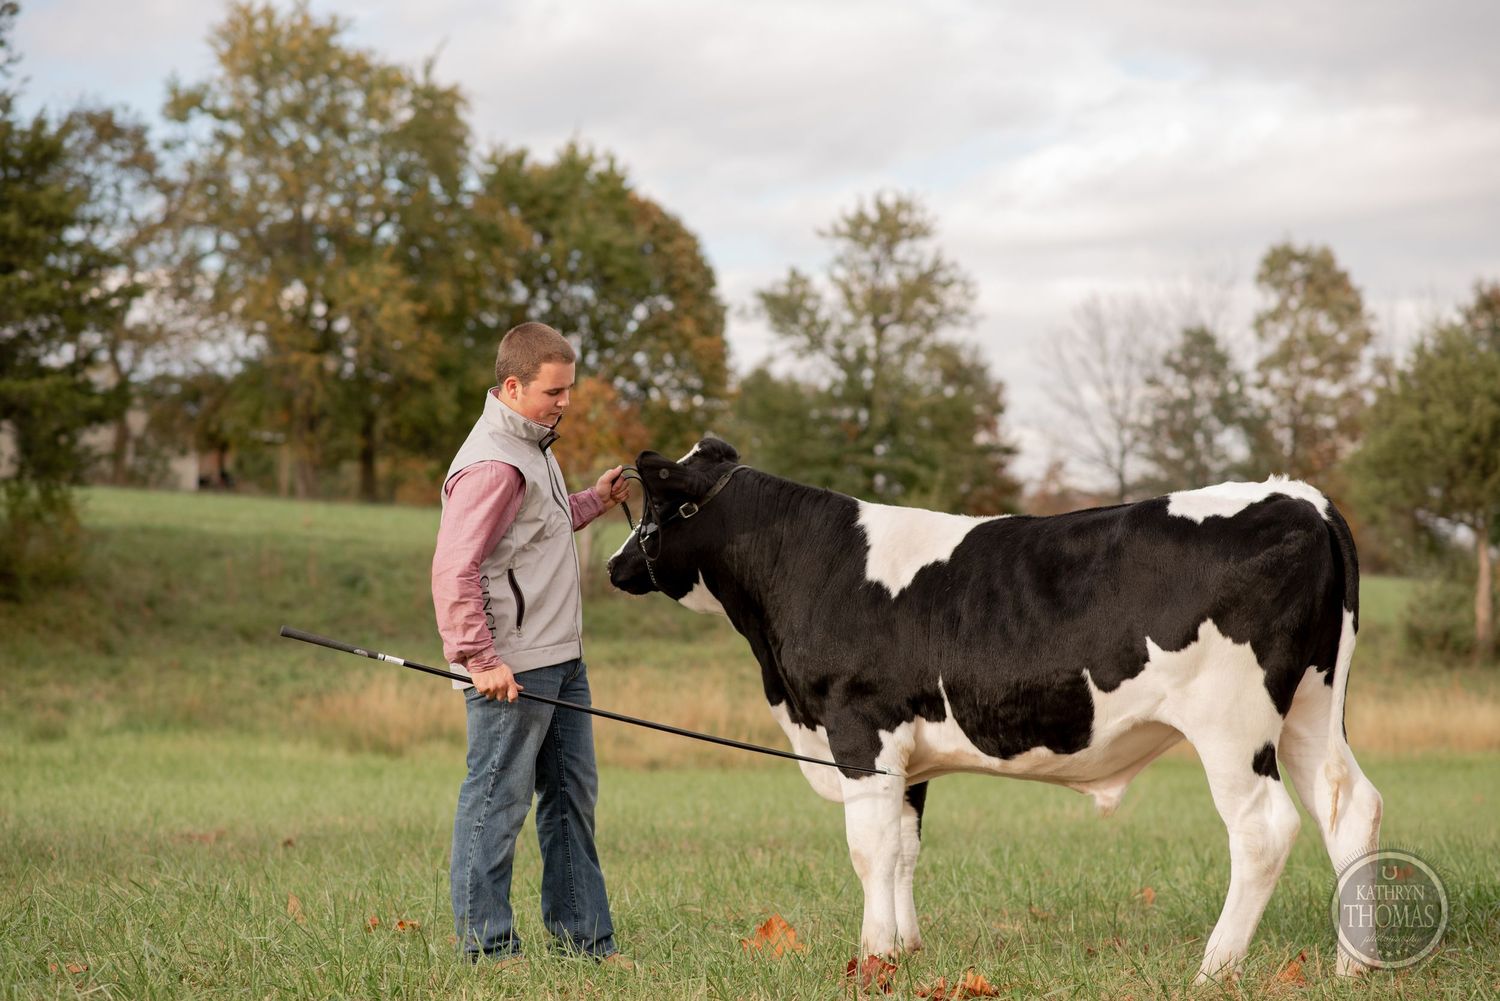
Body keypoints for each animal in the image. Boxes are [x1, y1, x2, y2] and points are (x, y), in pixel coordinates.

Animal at [606, 437, 1384, 983]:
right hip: (1310, 709)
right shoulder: (905, 753)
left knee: (1264, 829)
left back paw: (1214, 968)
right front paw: (905, 952)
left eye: (656, 507)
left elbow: (869, 848)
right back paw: (1354, 965)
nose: (614, 566)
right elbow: (904, 848)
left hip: (1232, 723)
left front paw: (871, 957)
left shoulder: (860, 727)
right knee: (1351, 806)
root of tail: (1299, 496)